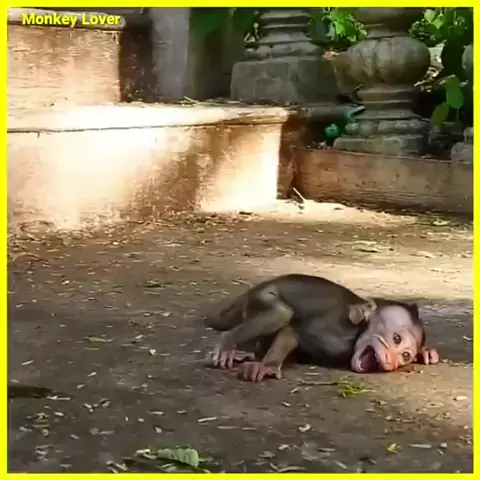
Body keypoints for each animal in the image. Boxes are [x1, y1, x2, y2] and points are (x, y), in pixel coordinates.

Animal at [204, 274, 439, 382]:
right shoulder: (334, 333)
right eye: (396, 338)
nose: (391, 361)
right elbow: (294, 330)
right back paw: (229, 341)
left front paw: (426, 352)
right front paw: (268, 365)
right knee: (281, 312)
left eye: (405, 355)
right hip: (257, 299)